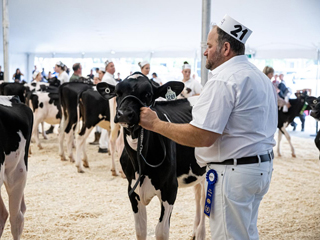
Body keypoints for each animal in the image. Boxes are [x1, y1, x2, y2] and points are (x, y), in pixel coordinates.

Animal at [97, 73, 206, 240]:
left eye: (147, 94)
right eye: (118, 92)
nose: (124, 114)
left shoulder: (170, 189)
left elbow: (161, 231)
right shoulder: (132, 190)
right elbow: (140, 230)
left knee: (205, 200)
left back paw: (200, 233)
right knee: (199, 195)